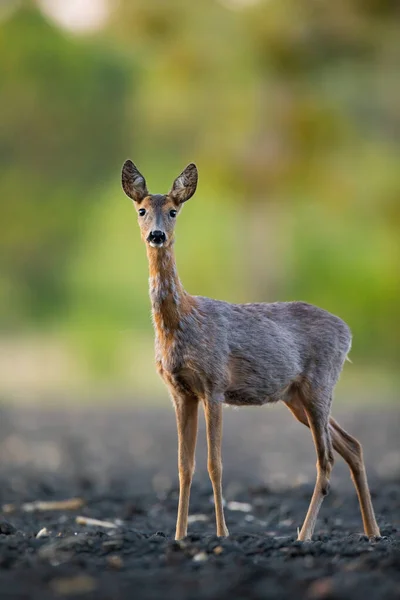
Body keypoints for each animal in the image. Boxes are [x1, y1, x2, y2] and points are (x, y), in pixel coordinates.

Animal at [121, 161, 382, 544]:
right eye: (141, 210)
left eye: (173, 211)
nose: (156, 235)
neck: (181, 322)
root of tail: (347, 331)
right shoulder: (180, 392)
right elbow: (184, 467)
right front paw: (179, 536)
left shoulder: (214, 384)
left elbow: (215, 464)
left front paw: (222, 534)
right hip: (295, 397)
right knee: (352, 445)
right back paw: (372, 532)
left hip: (320, 384)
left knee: (326, 459)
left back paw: (305, 535)